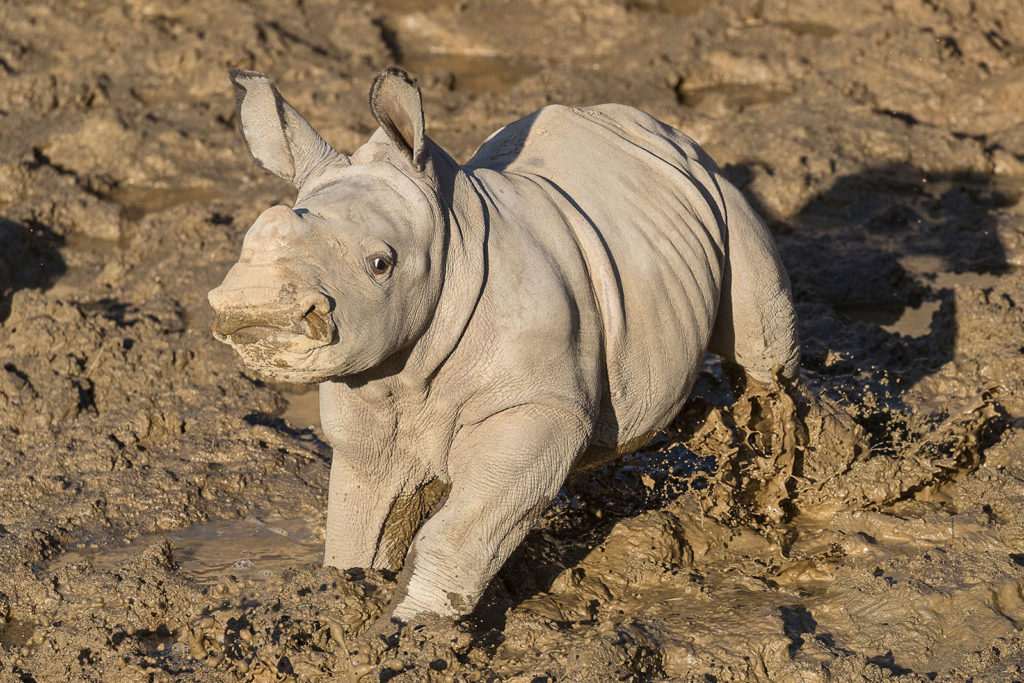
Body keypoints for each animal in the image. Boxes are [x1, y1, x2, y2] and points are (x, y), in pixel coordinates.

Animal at [207, 68, 798, 618]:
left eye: (380, 264)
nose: (253, 308)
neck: (449, 239)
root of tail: (660, 130)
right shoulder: (368, 396)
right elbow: (360, 527)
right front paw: (351, 598)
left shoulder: (540, 408)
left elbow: (459, 534)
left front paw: (415, 633)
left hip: (719, 188)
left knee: (764, 355)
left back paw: (773, 494)